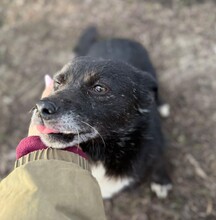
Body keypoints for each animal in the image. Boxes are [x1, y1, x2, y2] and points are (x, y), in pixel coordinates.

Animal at [32, 27, 172, 199]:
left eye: (99, 88)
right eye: (58, 82)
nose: (40, 108)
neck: (102, 151)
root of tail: (117, 39)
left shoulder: (157, 146)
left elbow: (159, 163)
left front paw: (161, 182)